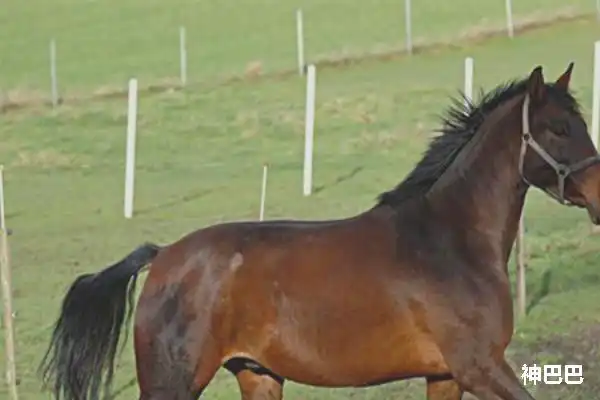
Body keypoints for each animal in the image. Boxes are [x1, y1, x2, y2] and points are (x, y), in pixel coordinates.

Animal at [39, 63, 600, 400]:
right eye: (557, 129)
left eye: (581, 124)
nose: (599, 193)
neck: (450, 241)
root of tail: (163, 257)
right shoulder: (479, 366)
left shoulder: (445, 374)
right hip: (173, 383)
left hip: (259, 375)